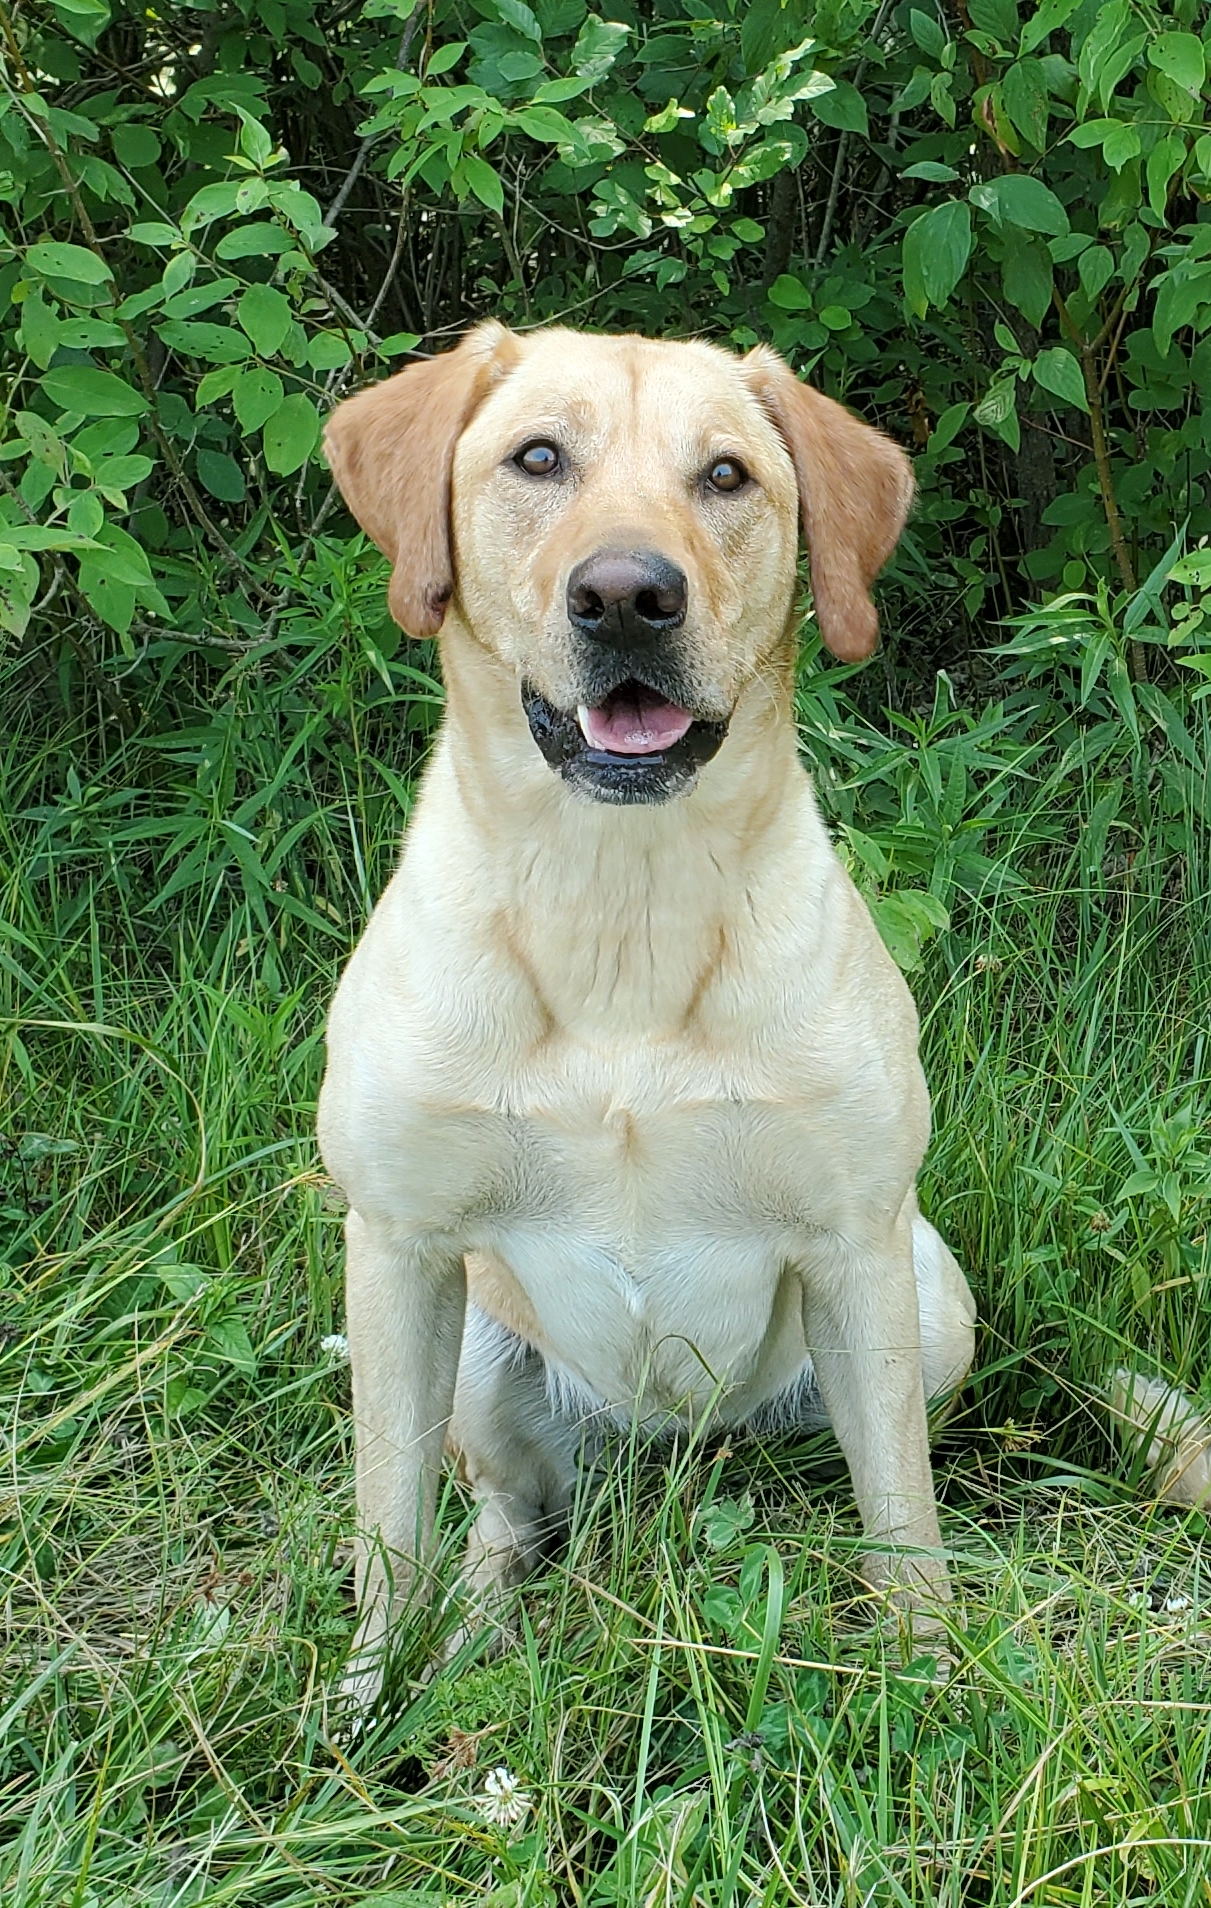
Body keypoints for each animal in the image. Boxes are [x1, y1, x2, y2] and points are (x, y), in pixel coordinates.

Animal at [320, 320, 984, 1709]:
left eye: (725, 475)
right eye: (536, 457)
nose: (627, 596)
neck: (615, 908)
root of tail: (670, 1438)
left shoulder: (856, 1246)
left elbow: (902, 1521)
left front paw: (926, 1689)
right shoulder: (396, 1246)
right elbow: (386, 1520)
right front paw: (366, 1698)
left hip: (929, 1298)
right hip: (476, 1349)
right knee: (502, 1514)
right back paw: (469, 1638)